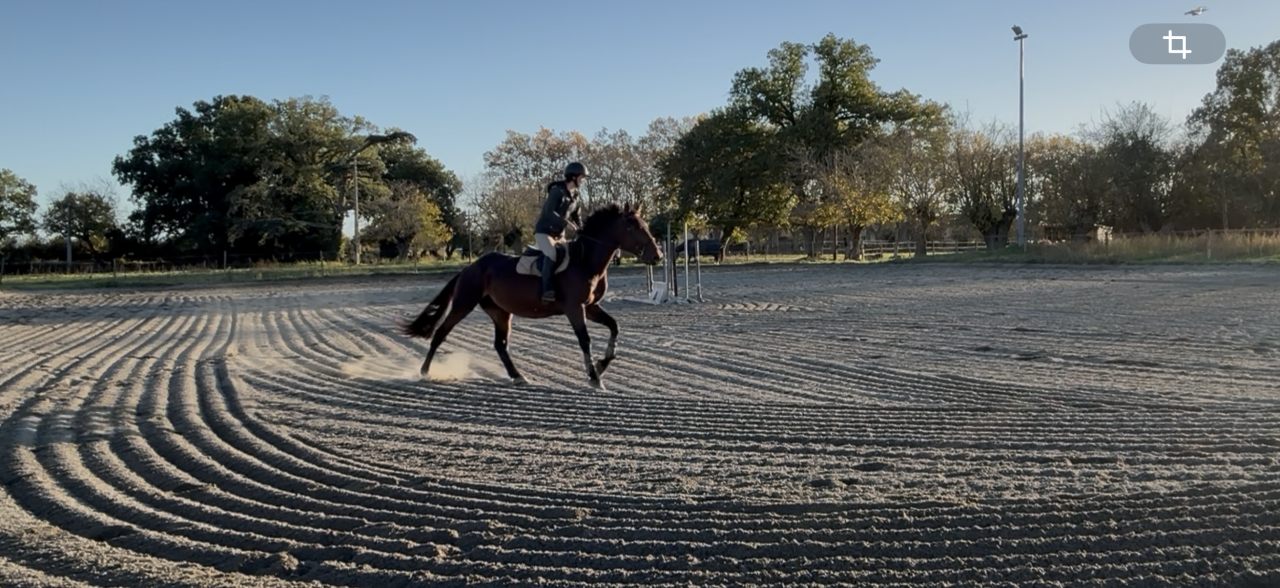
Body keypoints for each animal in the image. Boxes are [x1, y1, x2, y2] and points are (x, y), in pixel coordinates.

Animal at [399, 201, 663, 390]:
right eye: (635, 227)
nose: (658, 255)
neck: (586, 260)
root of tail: (470, 268)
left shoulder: (590, 307)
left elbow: (614, 326)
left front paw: (601, 365)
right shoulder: (574, 309)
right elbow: (584, 340)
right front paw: (593, 377)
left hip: (501, 312)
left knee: (500, 345)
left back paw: (518, 376)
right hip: (463, 304)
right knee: (440, 334)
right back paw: (425, 372)